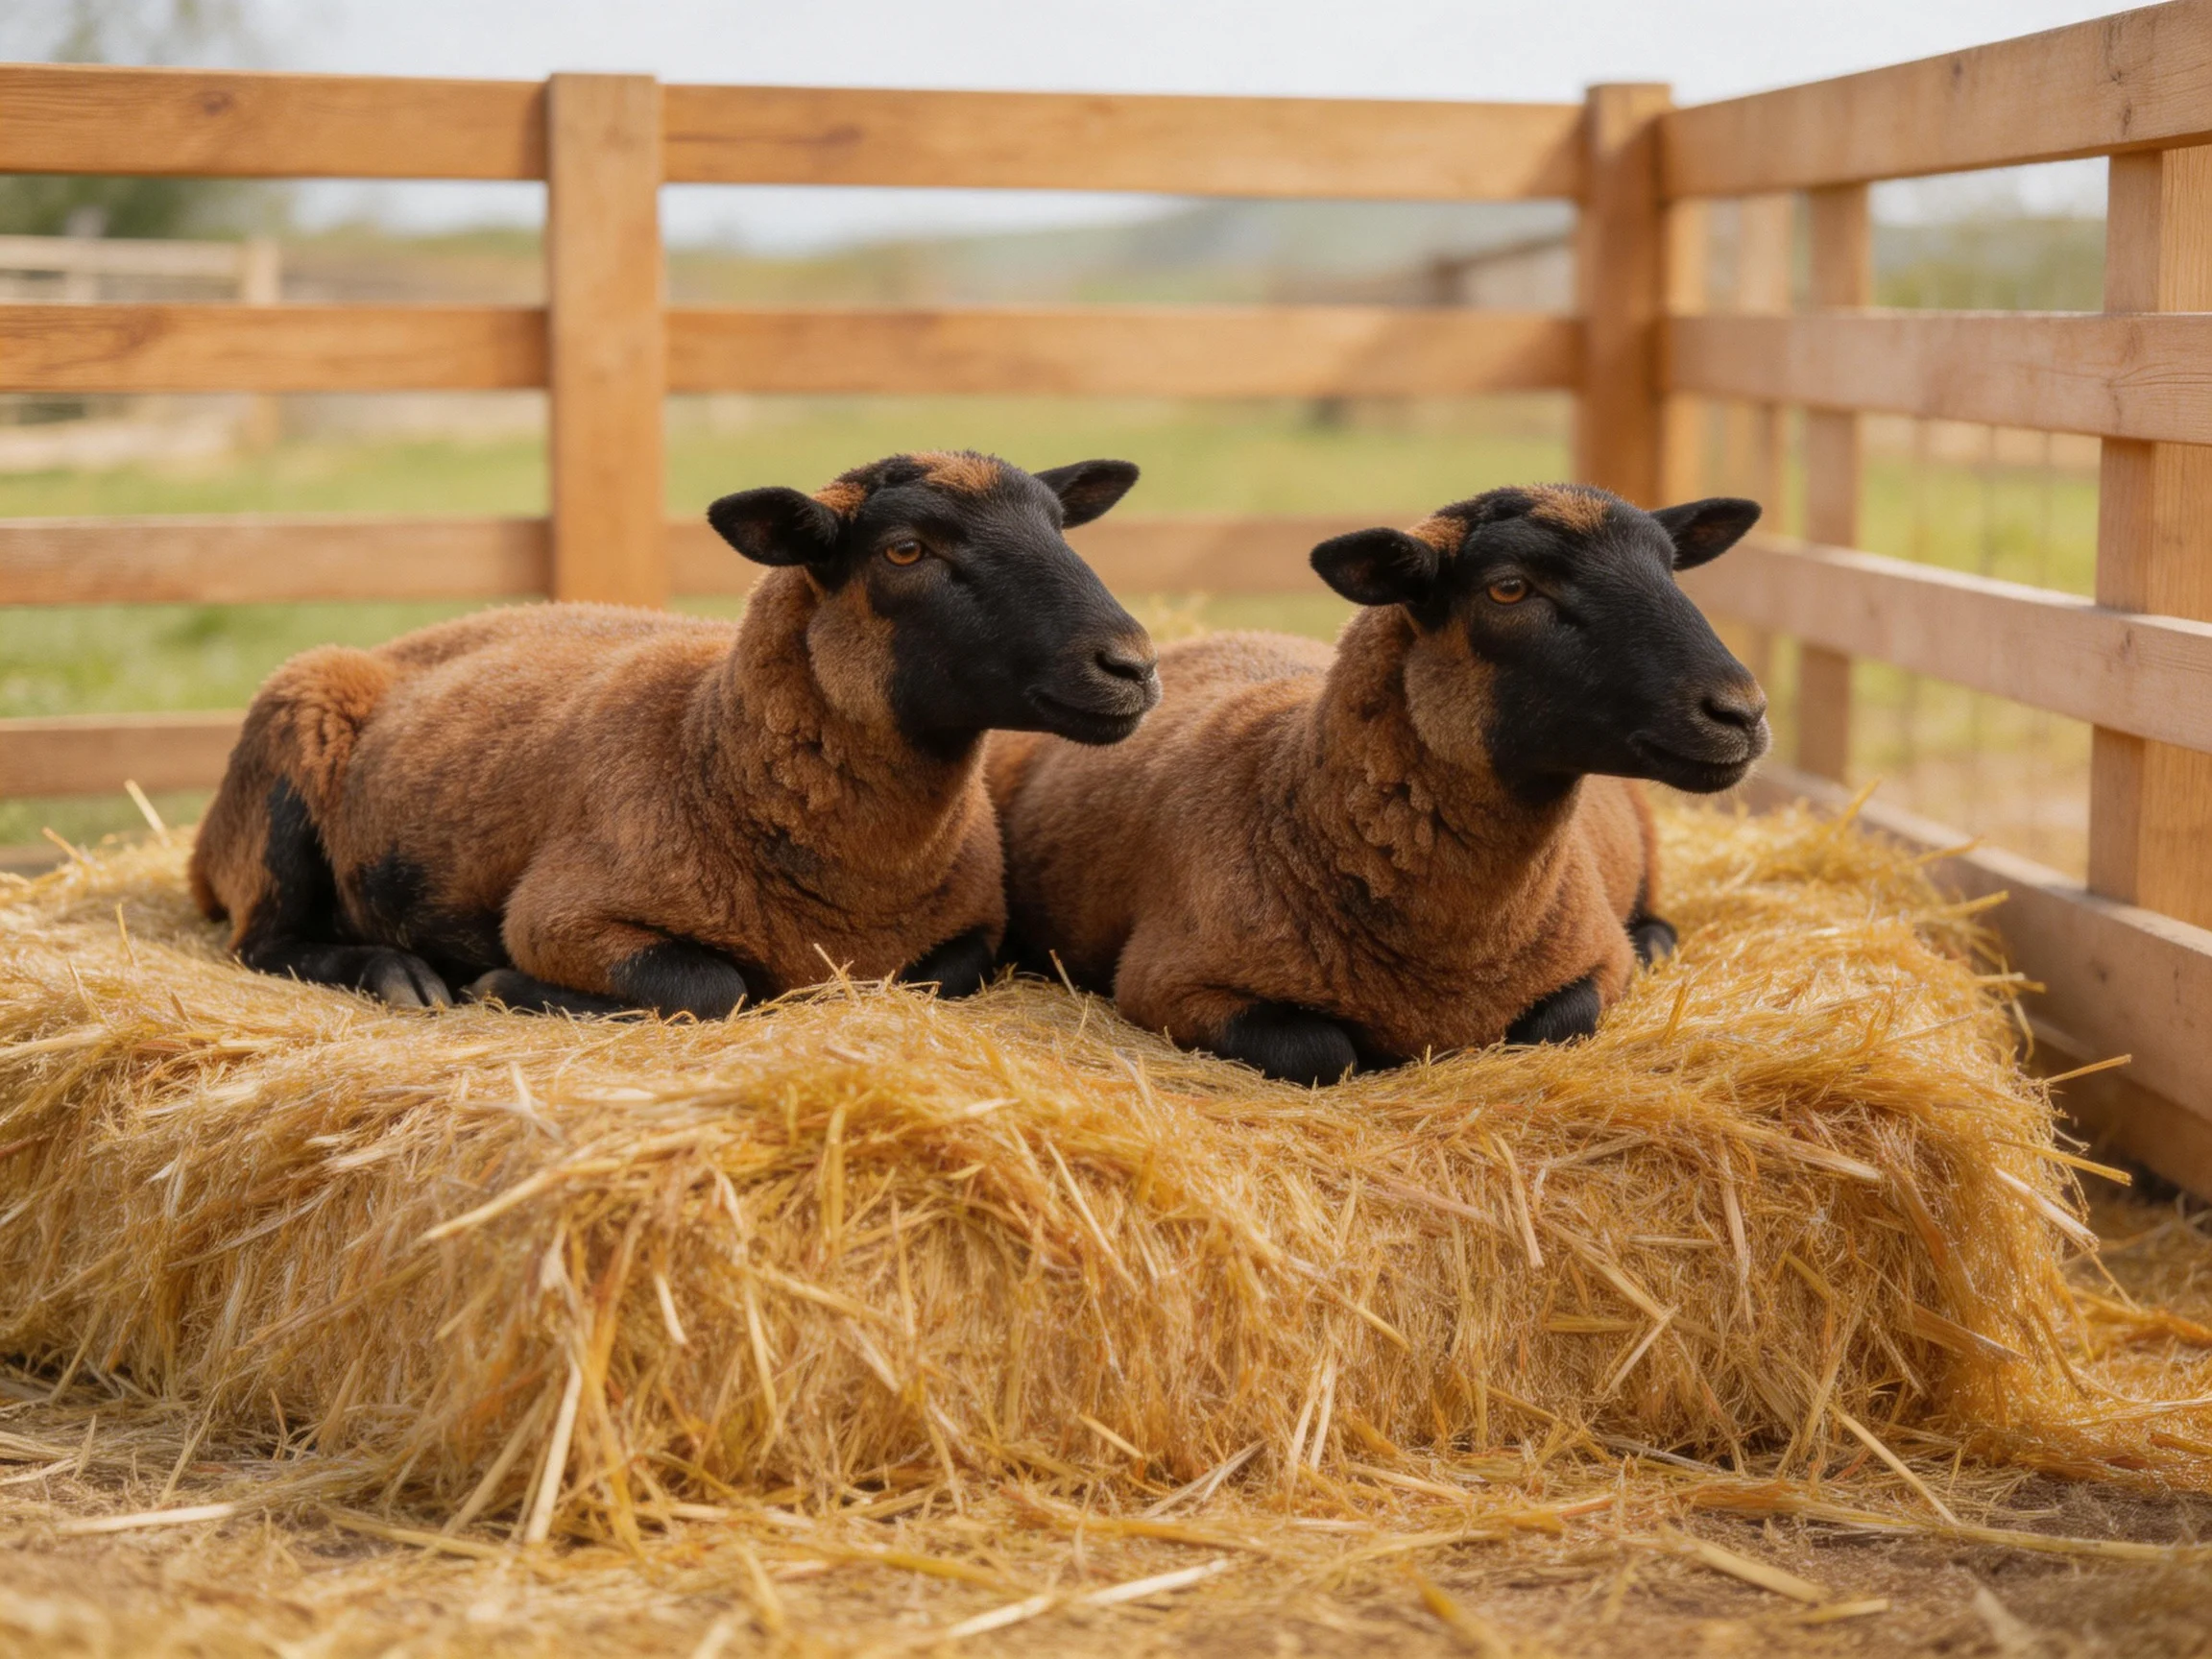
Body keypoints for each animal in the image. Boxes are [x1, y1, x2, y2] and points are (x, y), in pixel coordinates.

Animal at [190, 450, 1160, 1017]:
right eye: (906, 550)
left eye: (1061, 526)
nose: (1133, 666)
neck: (708, 749)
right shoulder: (563, 916)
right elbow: (713, 986)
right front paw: (499, 983)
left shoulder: (974, 931)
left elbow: (942, 972)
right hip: (286, 767)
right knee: (262, 943)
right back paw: (400, 976)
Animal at [987, 483, 1768, 1084]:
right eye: (1509, 587)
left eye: (1672, 570)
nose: (1743, 712)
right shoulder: (1168, 982)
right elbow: (1321, 1052)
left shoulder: (1600, 959)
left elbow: (1553, 1025)